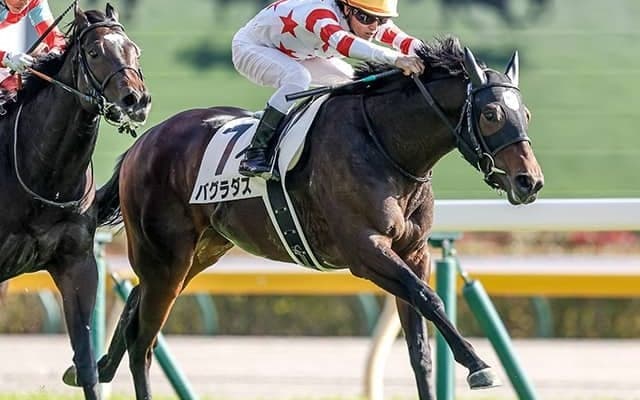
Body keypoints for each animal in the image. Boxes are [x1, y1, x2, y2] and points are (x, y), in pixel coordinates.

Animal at [68, 36, 543, 400]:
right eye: (491, 114)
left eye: (526, 114)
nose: (530, 182)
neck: (385, 144)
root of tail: (142, 143)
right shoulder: (365, 250)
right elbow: (430, 298)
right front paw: (478, 364)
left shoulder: (414, 252)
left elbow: (420, 348)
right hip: (165, 256)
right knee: (143, 343)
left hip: (196, 254)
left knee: (136, 302)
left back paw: (96, 366)